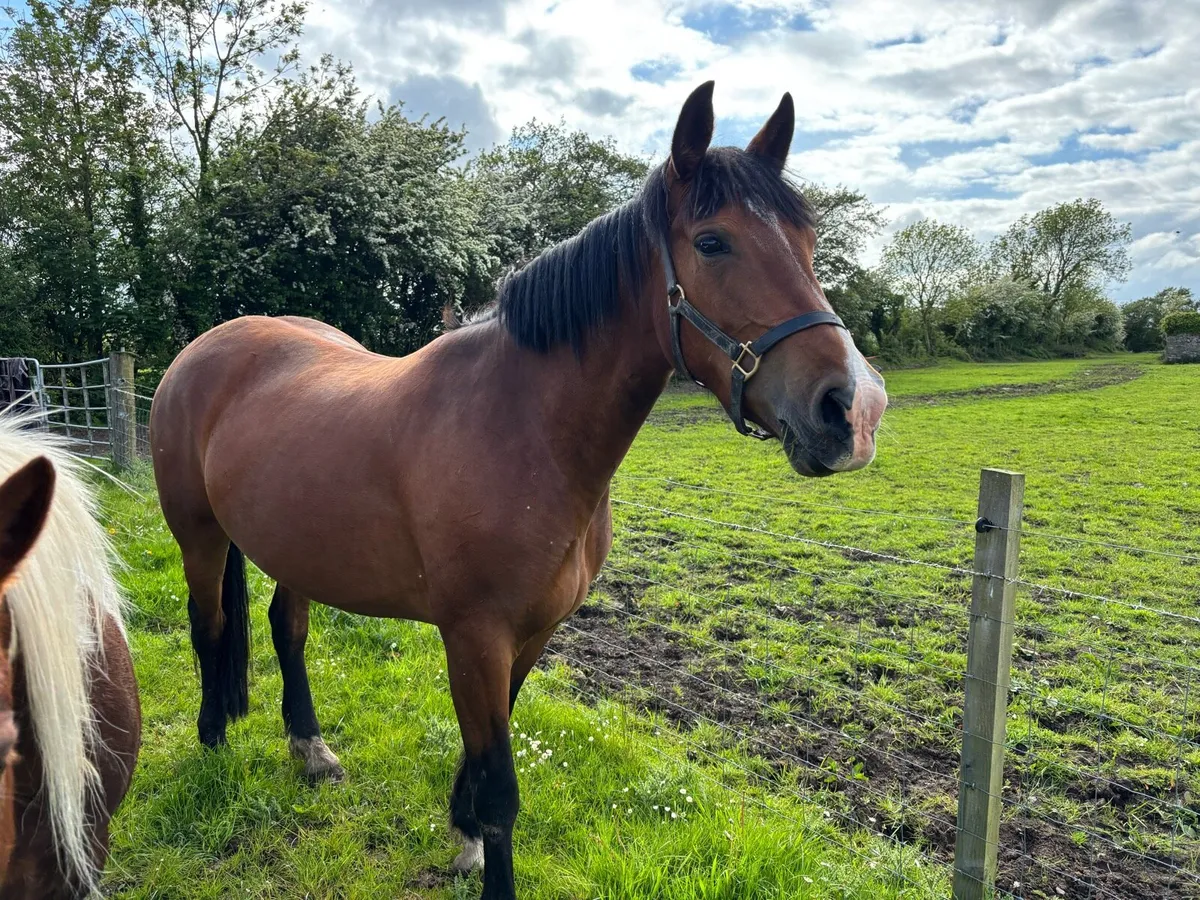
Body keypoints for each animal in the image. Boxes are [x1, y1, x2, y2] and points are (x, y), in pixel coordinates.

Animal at [149, 81, 888, 900]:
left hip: (297, 547)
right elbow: (502, 785)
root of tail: (203, 349)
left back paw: (310, 749)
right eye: (712, 242)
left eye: (809, 240)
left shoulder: (530, 635)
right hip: (199, 534)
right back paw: (214, 739)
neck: (523, 428)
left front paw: (463, 830)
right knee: (209, 625)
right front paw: (482, 849)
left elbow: (484, 752)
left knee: (287, 627)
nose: (852, 409)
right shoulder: (476, 636)